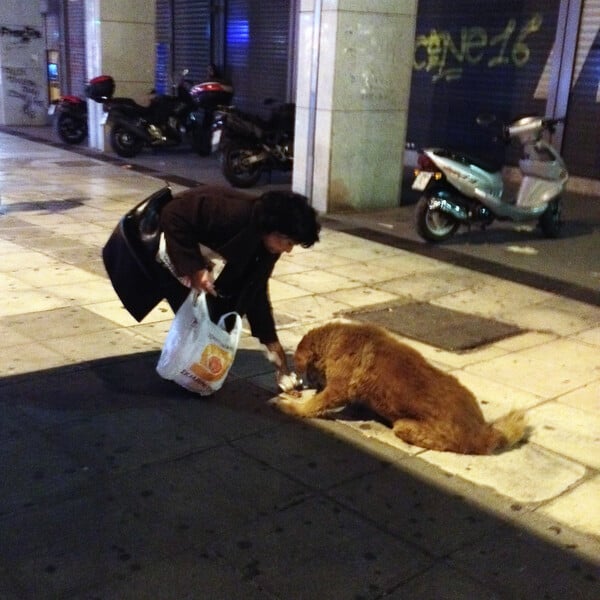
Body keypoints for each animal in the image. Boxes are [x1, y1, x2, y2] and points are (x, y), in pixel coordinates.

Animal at [274, 324, 528, 454]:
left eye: (308, 372)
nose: (310, 384)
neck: (335, 340)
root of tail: (482, 432)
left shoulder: (337, 389)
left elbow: (314, 405)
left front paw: (293, 407)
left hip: (405, 426)